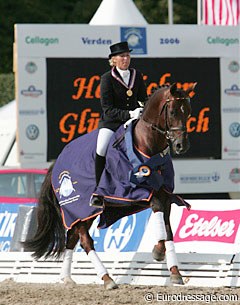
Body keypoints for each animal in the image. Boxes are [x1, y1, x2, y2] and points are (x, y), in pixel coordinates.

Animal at [24, 82, 197, 288]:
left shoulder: (165, 195)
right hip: (79, 209)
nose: (181, 146)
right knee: (85, 241)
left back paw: (67, 278)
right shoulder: (138, 193)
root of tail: (57, 162)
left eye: (188, 112)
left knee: (71, 238)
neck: (147, 144)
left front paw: (174, 272)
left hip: (82, 214)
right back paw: (107, 279)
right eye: (172, 112)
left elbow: (168, 231)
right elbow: (160, 221)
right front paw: (158, 252)